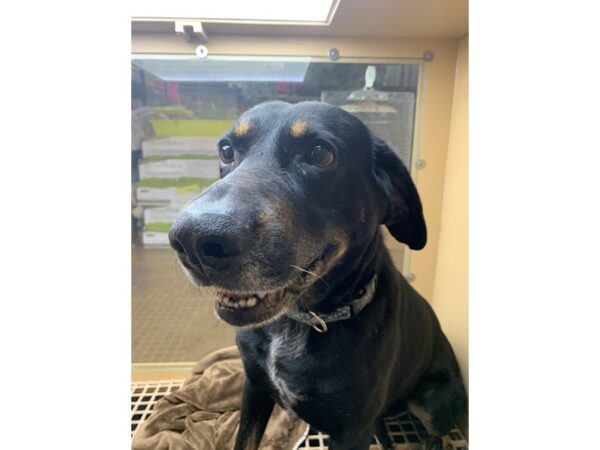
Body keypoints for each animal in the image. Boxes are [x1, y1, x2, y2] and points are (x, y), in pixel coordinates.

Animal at [169, 102, 468, 450]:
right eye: (227, 151)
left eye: (320, 154)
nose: (192, 242)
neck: (297, 322)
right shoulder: (254, 387)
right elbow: (245, 440)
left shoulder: (352, 432)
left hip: (431, 401)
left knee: (438, 428)